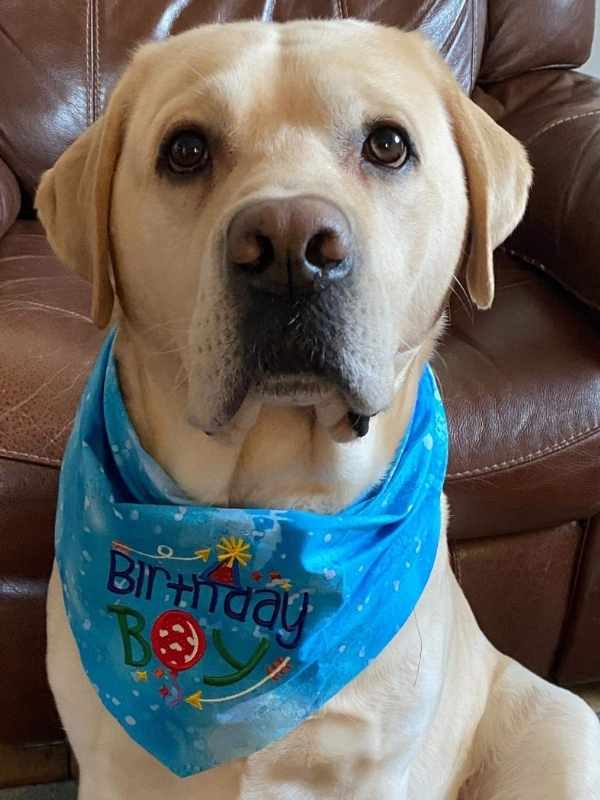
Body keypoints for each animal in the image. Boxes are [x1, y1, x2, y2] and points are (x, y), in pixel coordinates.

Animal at [37, 18, 600, 800]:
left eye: (388, 145)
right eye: (185, 150)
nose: (288, 248)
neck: (274, 508)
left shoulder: (372, 769)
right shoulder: (109, 767)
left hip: (567, 728)